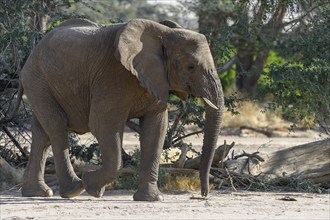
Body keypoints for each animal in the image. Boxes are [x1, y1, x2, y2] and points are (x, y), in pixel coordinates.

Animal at [8, 18, 224, 201]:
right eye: (191, 67)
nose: (203, 195)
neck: (164, 33)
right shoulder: (112, 75)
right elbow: (103, 125)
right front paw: (92, 186)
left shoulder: (156, 79)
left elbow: (156, 129)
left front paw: (151, 199)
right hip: (38, 80)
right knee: (56, 127)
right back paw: (74, 189)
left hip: (41, 83)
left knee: (42, 134)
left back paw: (38, 193)